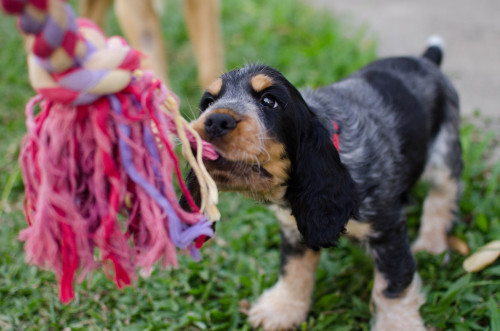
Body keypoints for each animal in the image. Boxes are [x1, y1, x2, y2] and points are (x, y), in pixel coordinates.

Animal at [187, 37, 460, 330]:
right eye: (208, 102)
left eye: (269, 101)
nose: (215, 121)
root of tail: (427, 59)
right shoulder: (294, 230)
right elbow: (293, 270)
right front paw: (282, 309)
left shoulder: (387, 232)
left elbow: (392, 287)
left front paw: (396, 324)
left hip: (445, 155)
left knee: (442, 198)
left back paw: (431, 245)